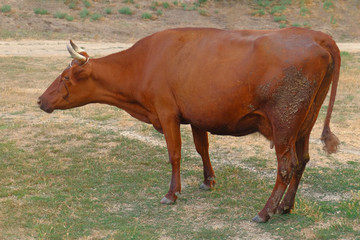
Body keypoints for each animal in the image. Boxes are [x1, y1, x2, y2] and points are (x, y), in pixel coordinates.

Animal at [38, 27, 340, 222]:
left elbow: (175, 154)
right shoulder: (197, 115)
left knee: (287, 166)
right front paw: (208, 181)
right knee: (302, 161)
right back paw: (286, 207)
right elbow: (201, 148)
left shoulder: (167, 113)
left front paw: (172, 194)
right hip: (304, 123)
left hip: (284, 123)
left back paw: (265, 212)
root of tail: (318, 36)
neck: (144, 62)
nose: (41, 100)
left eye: (65, 78)